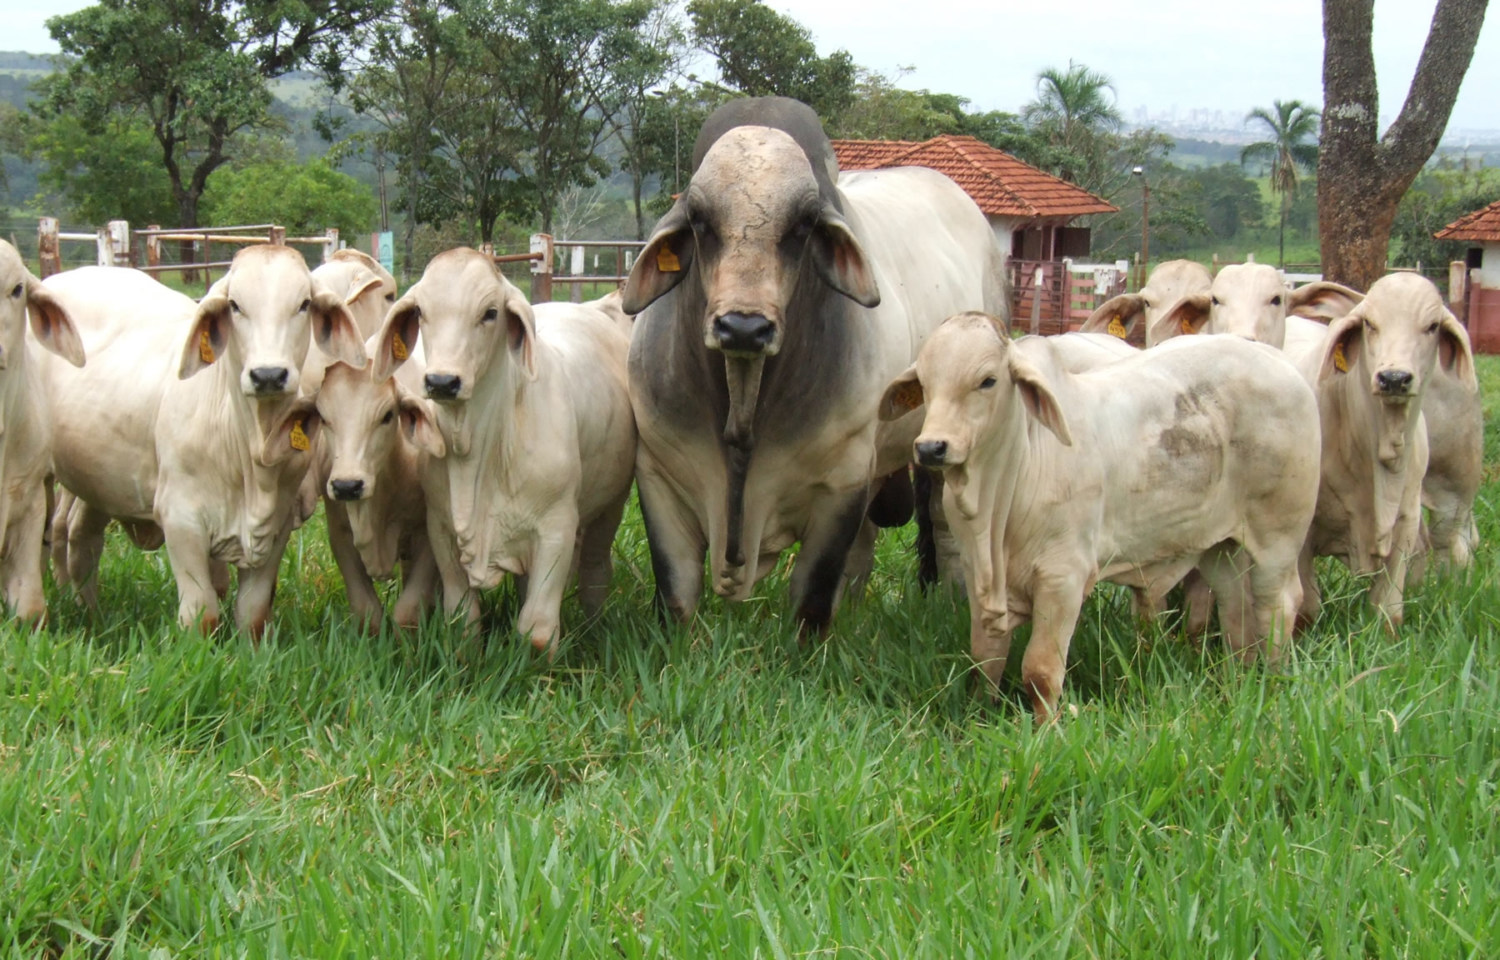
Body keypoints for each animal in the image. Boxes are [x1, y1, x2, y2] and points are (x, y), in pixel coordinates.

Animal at [38, 247, 366, 636]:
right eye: (235, 305)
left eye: (303, 304)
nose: (268, 375)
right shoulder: (182, 521)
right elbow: (201, 614)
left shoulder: (277, 526)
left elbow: (253, 614)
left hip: (101, 480)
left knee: (82, 538)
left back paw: (92, 614)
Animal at [375, 247, 639, 657]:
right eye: (421, 311)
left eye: (489, 312)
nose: (442, 381)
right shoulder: (441, 530)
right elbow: (461, 620)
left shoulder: (557, 529)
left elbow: (538, 631)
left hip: (610, 505)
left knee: (596, 571)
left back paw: (596, 631)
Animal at [882, 315, 1320, 720]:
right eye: (924, 383)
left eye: (987, 381)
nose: (931, 447)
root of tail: (1279, 362)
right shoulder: (979, 578)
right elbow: (984, 660)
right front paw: (978, 716)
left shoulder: (1063, 578)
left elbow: (1040, 671)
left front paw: (1046, 730)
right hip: (1219, 546)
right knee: (1236, 608)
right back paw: (1239, 679)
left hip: (1279, 538)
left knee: (1278, 604)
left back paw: (1272, 680)